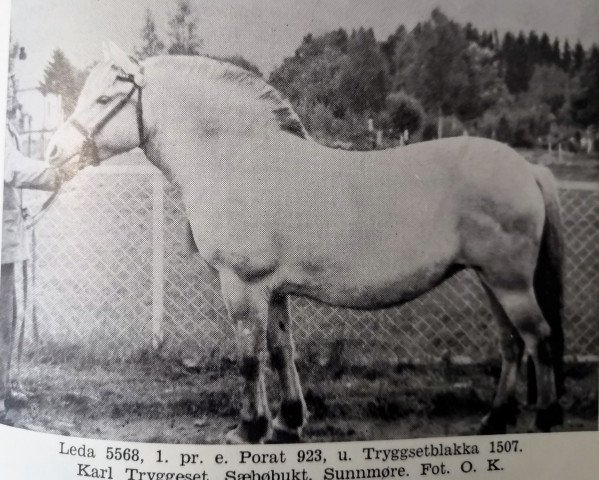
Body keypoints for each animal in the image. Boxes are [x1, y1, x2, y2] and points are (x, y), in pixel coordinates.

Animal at [47, 43, 568, 444]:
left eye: (105, 97)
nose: (53, 151)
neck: (239, 159)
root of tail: (527, 169)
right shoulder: (273, 291)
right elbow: (282, 351)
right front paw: (288, 422)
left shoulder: (243, 286)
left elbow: (249, 357)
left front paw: (249, 428)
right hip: (490, 280)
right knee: (511, 343)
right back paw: (494, 420)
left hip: (509, 282)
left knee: (538, 339)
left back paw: (543, 420)